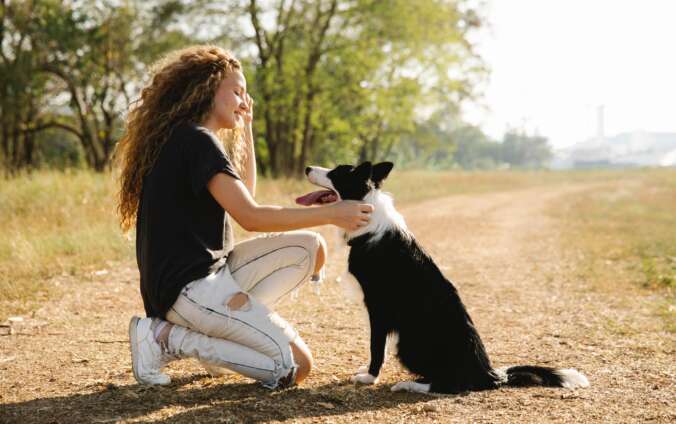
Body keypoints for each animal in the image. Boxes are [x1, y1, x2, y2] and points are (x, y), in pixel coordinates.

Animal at [298, 162, 588, 394]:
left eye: (336, 172)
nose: (308, 167)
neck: (368, 212)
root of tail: (489, 374)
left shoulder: (378, 308)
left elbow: (376, 348)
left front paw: (369, 377)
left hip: (409, 342)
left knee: (447, 385)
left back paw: (408, 385)